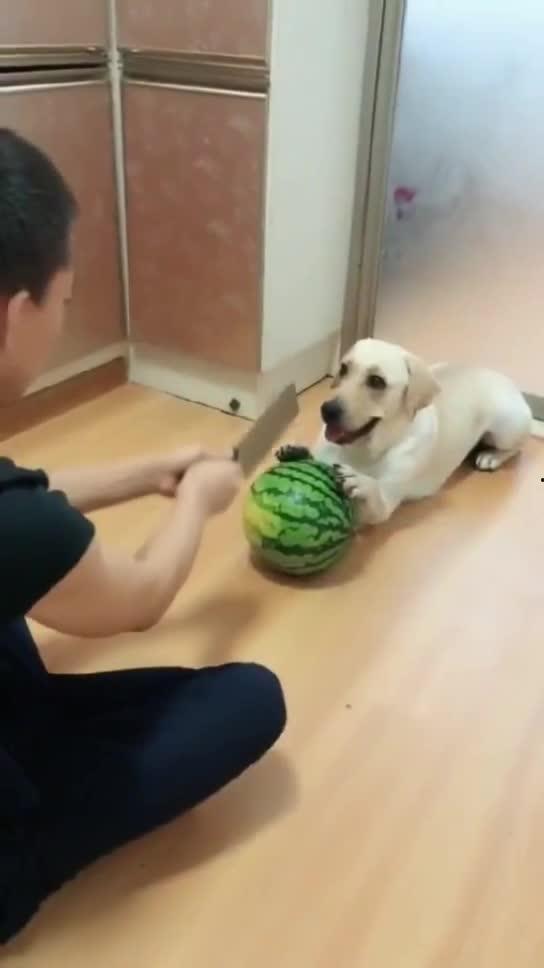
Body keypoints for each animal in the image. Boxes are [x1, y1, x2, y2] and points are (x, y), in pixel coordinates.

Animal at [278, 338, 532, 528]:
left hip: (505, 426)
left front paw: (362, 483)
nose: (327, 410)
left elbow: (375, 496)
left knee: (517, 448)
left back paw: (491, 456)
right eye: (343, 368)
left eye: (377, 381)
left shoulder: (382, 506)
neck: (364, 448)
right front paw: (299, 452)